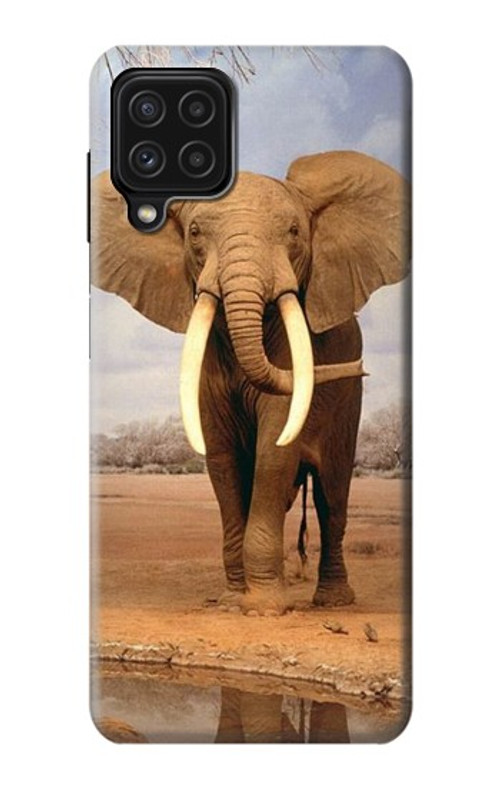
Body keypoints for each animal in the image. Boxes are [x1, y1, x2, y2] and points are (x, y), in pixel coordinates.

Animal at [91, 150, 410, 615]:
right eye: (194, 233)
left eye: (294, 232)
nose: (362, 367)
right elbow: (222, 459)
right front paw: (231, 602)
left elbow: (273, 452)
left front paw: (263, 609)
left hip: (349, 404)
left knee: (332, 495)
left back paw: (333, 602)